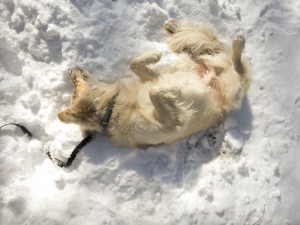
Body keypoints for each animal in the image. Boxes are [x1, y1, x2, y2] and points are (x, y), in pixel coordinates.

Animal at [57, 20, 250, 149]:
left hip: (187, 63)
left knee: (210, 45)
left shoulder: (154, 78)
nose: (70, 70)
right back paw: (238, 43)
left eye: (74, 90)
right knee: (236, 66)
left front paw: (154, 56)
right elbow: (156, 92)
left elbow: (134, 65)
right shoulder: (167, 125)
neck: (112, 109)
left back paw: (175, 27)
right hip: (232, 91)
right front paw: (173, 92)